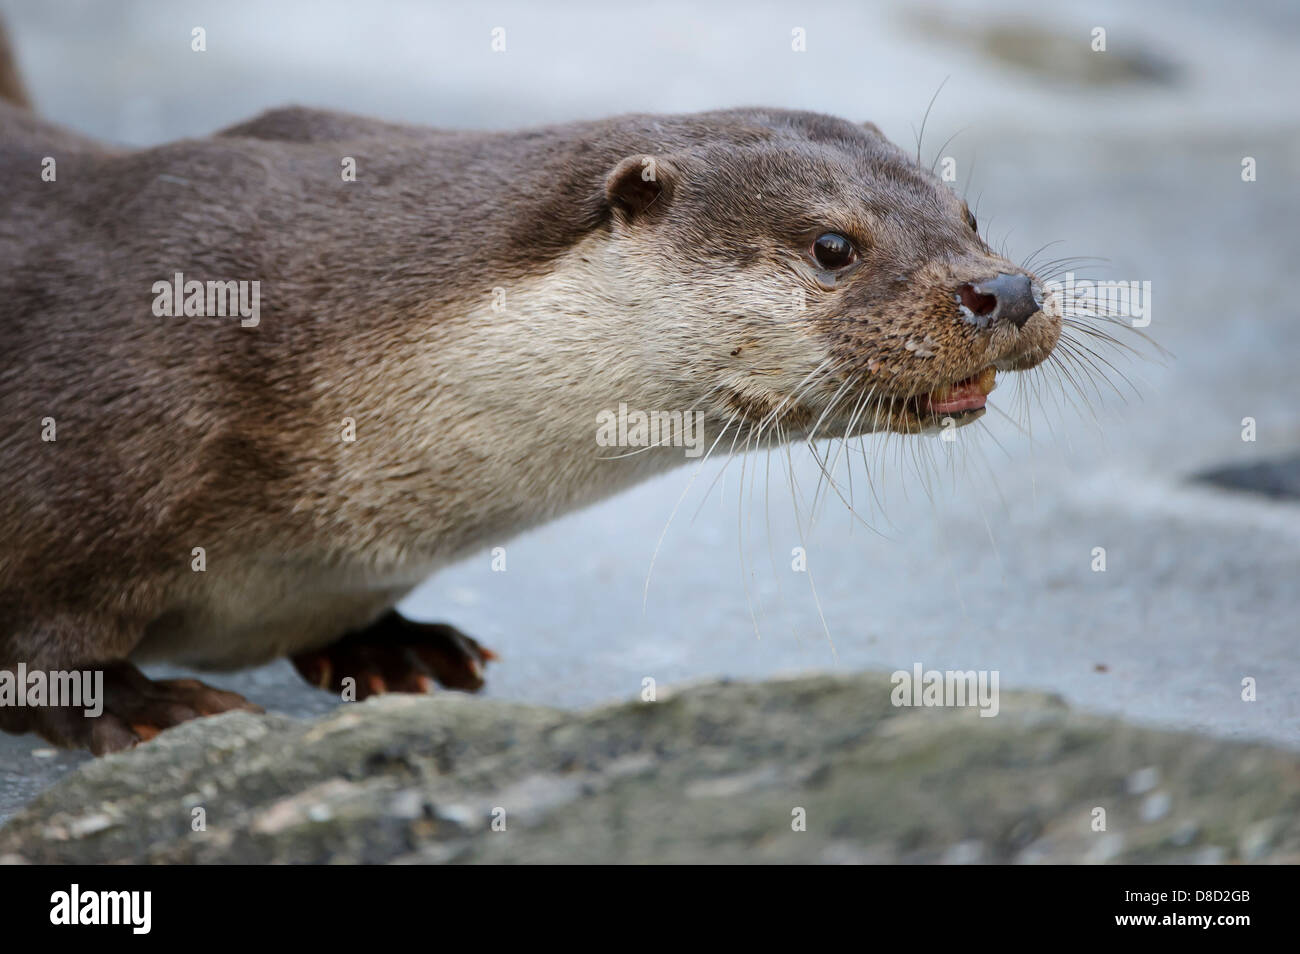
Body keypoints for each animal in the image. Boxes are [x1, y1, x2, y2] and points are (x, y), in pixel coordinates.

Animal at [0, 50, 1055, 753]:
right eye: (834, 246)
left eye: (968, 215)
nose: (1006, 289)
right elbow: (45, 653)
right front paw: (146, 709)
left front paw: (388, 645)